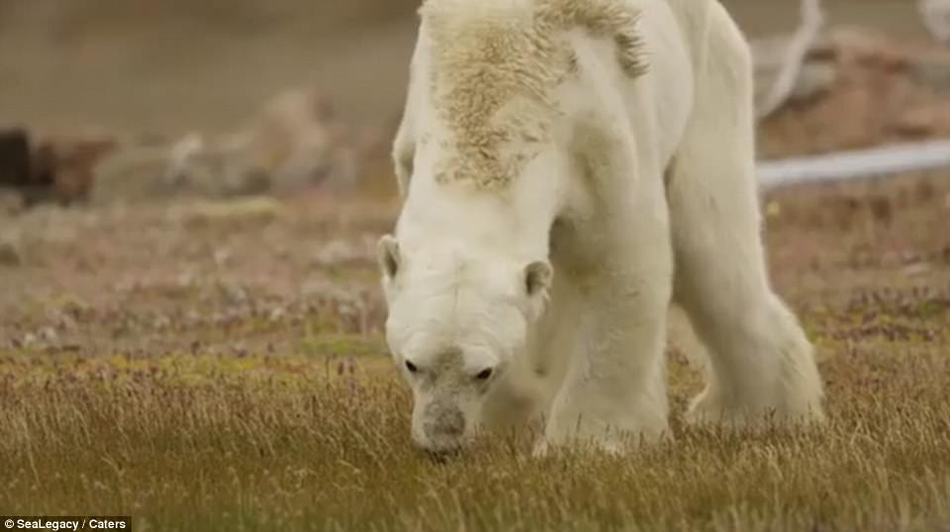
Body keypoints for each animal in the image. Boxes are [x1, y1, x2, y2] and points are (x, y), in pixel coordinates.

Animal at [380, 0, 824, 456]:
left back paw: (752, 413)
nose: (441, 443)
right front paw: (511, 416)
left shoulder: (596, 133)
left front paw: (583, 443)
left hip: (708, 91)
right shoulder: (413, 132)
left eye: (483, 370)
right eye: (412, 363)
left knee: (712, 260)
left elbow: (620, 262)